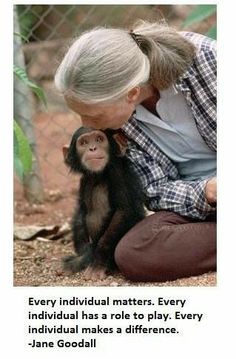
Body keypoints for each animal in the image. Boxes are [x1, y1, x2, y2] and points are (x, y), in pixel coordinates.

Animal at [61, 127, 145, 282]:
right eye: (84, 142)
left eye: (99, 139)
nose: (93, 148)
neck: (98, 175)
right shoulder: (84, 180)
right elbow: (82, 211)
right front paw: (82, 256)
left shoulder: (117, 172)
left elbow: (123, 211)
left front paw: (96, 265)